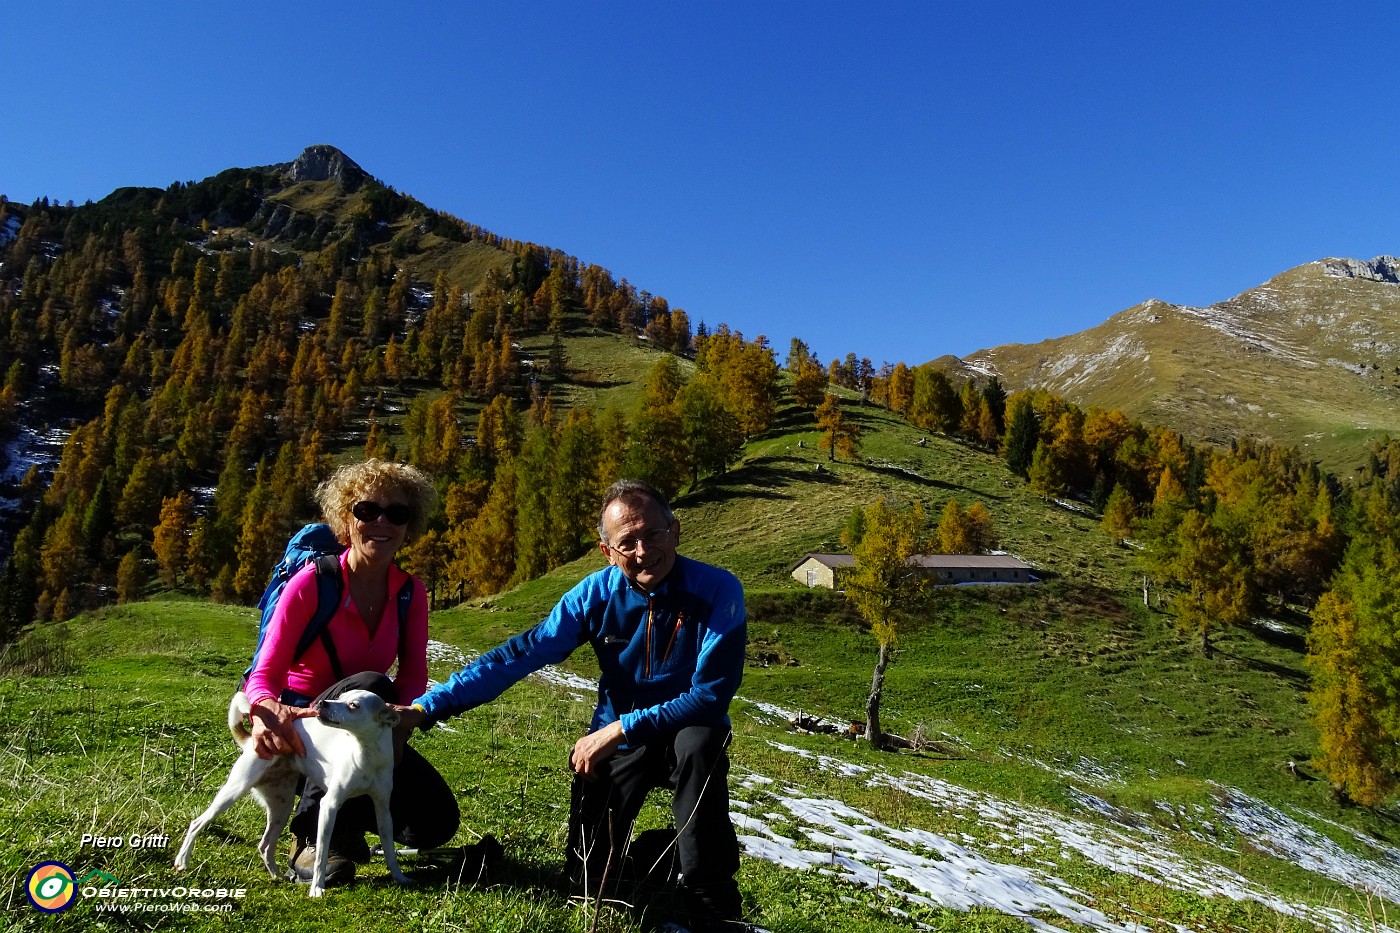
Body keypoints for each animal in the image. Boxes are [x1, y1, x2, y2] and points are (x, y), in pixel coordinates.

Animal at [174, 689, 408, 896]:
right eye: (341, 697)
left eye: (353, 705)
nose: (322, 703)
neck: (365, 754)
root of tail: (252, 740)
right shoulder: (329, 805)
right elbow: (321, 855)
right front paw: (317, 888)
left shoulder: (383, 810)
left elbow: (389, 849)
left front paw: (399, 877)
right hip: (234, 791)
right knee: (197, 823)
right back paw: (182, 861)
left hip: (281, 807)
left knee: (265, 845)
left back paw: (277, 876)